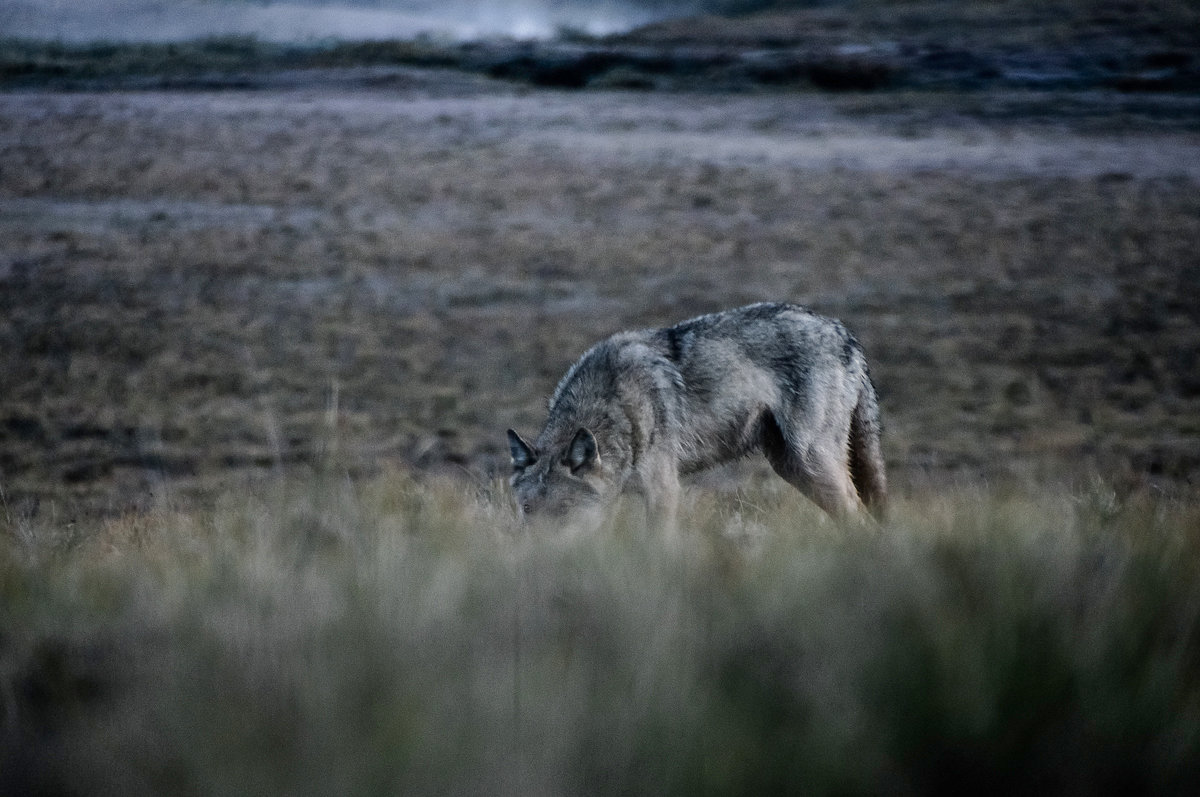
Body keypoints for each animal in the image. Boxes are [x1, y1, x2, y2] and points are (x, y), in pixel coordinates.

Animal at [501, 302, 888, 532]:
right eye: (527, 509)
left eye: (564, 509)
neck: (614, 406)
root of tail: (844, 332)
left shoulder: (664, 491)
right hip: (792, 467)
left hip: (811, 460)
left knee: (858, 512)